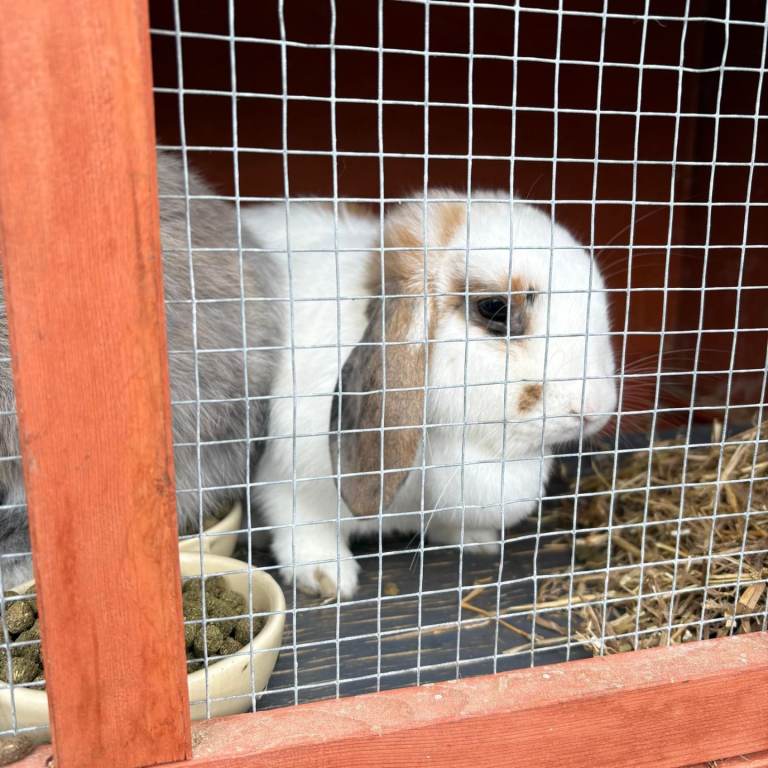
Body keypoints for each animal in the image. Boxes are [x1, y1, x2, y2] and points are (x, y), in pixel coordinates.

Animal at [244, 191, 617, 600]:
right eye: (495, 309)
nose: (594, 408)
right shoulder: (293, 484)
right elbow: (303, 525)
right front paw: (329, 577)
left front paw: (479, 540)